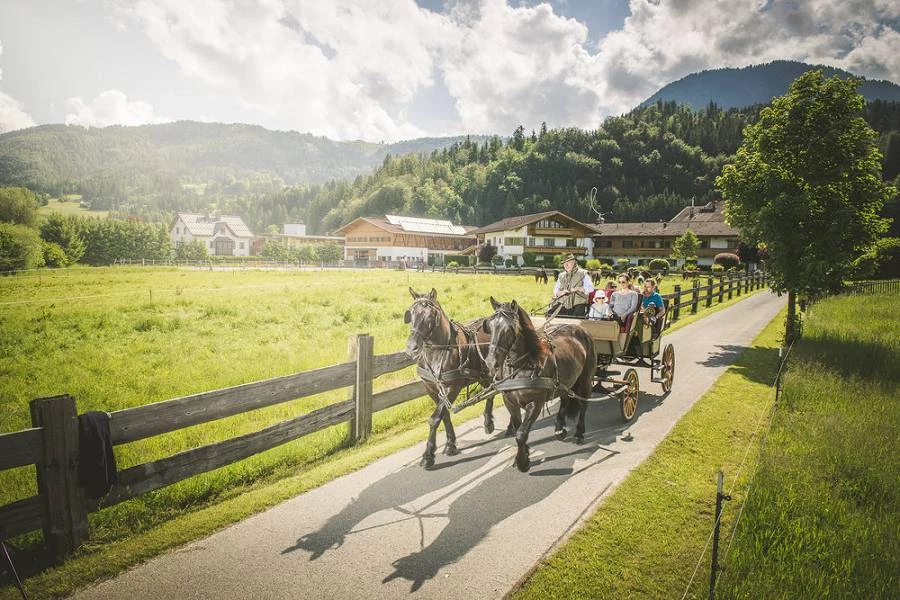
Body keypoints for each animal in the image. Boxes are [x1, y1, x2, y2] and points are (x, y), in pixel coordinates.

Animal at [406, 288, 500, 468]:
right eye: (410, 313)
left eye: (430, 315)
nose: (411, 347)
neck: (437, 351)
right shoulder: (432, 389)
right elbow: (444, 415)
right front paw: (450, 444)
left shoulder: (453, 387)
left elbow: (435, 418)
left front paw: (428, 455)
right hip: (484, 373)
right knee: (490, 393)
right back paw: (488, 421)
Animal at [482, 298, 596, 472]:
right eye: (490, 326)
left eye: (509, 329)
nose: (491, 362)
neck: (522, 365)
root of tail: (579, 328)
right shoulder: (510, 402)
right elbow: (518, 427)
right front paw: (524, 454)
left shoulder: (535, 403)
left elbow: (521, 433)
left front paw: (523, 462)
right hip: (565, 381)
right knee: (565, 399)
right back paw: (559, 428)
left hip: (585, 381)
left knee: (583, 404)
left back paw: (579, 433)